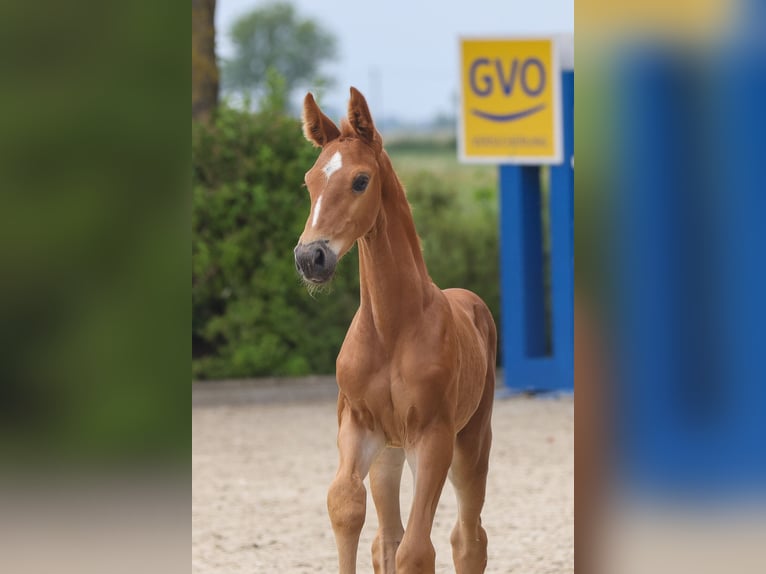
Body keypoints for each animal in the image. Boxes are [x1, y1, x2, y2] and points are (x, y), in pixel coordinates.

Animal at [294, 87, 496, 574]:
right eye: (309, 181)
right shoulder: (357, 425)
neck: (391, 329)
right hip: (389, 452)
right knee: (386, 538)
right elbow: (346, 506)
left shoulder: (433, 437)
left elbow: (418, 550)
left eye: (360, 180)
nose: (310, 257)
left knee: (468, 538)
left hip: (469, 445)